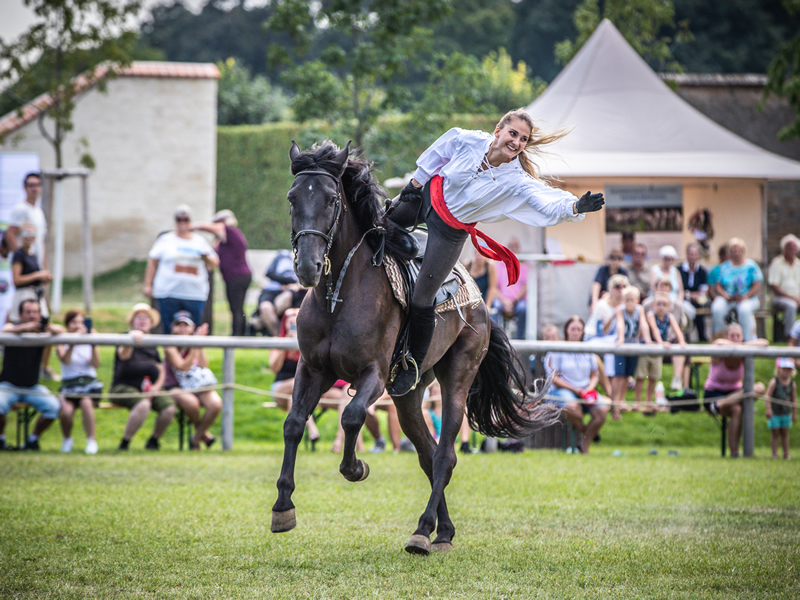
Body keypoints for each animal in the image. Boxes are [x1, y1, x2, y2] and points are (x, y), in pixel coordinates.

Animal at [270, 139, 556, 552]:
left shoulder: (372, 374)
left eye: (331, 200)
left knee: (445, 456)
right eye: (292, 198)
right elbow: (293, 424)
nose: (307, 266)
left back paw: (423, 531)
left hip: (457, 380)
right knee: (426, 452)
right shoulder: (312, 370)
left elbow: (351, 416)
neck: (338, 294)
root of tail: (480, 301)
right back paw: (443, 530)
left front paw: (355, 468)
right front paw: (282, 506)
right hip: (408, 396)